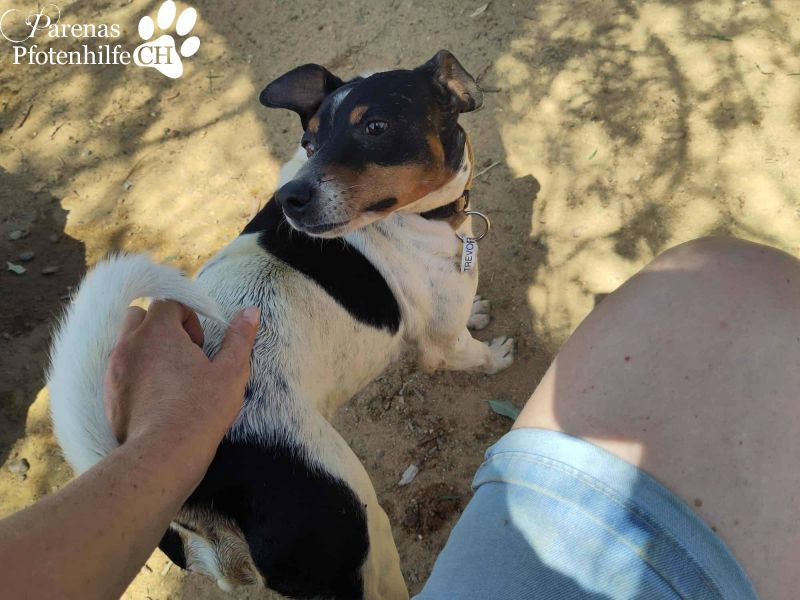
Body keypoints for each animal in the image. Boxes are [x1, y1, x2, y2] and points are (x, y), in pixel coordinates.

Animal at [47, 50, 514, 599]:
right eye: (309, 142)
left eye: (375, 127)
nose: (291, 197)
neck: (411, 219)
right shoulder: (444, 342)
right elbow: (475, 354)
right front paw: (498, 353)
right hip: (356, 530)